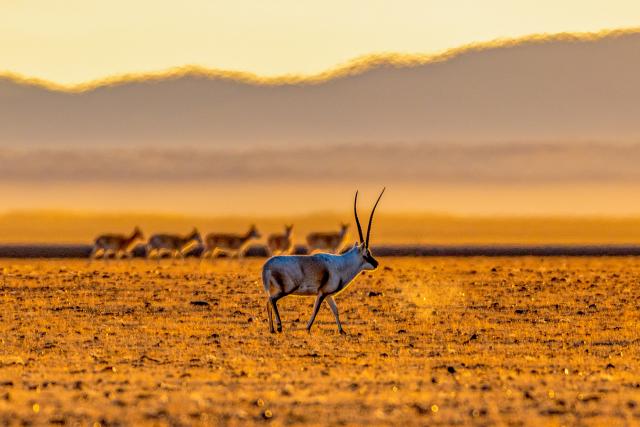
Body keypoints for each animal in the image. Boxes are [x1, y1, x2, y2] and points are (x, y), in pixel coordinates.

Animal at [262, 189, 385, 334]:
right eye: (367, 253)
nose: (376, 263)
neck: (342, 264)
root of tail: (267, 266)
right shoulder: (322, 293)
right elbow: (316, 310)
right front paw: (308, 328)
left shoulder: (328, 294)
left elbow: (335, 309)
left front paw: (342, 331)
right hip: (286, 289)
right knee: (272, 300)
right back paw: (279, 326)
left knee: (268, 301)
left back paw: (272, 329)